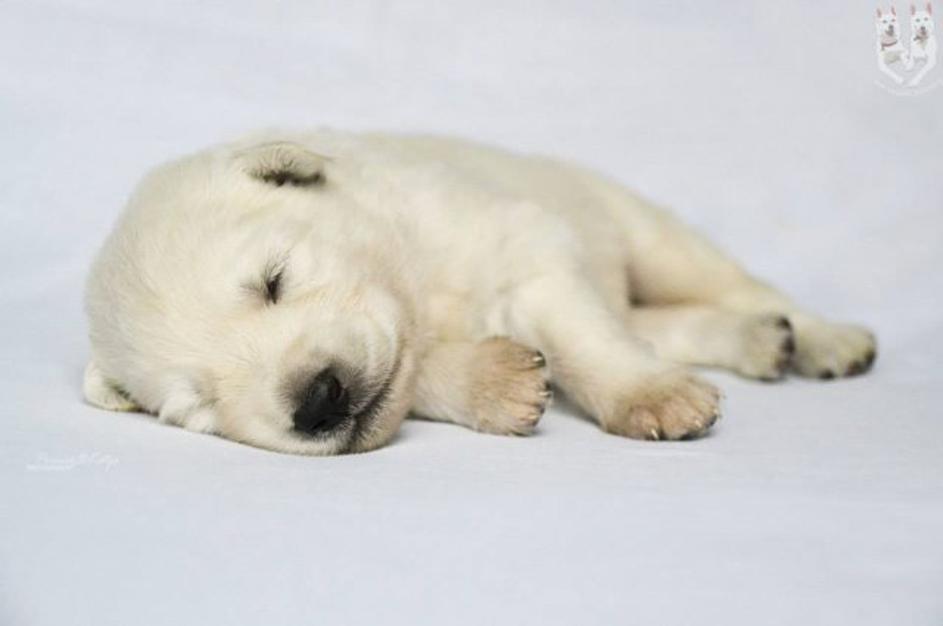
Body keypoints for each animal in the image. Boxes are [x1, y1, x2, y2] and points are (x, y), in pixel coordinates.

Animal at [83, 132, 877, 455]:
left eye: (273, 280)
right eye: (198, 408)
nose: (316, 401)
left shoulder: (522, 242)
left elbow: (581, 333)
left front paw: (649, 398)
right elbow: (424, 373)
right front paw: (500, 384)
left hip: (636, 225)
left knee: (731, 283)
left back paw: (824, 338)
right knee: (661, 321)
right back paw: (759, 341)